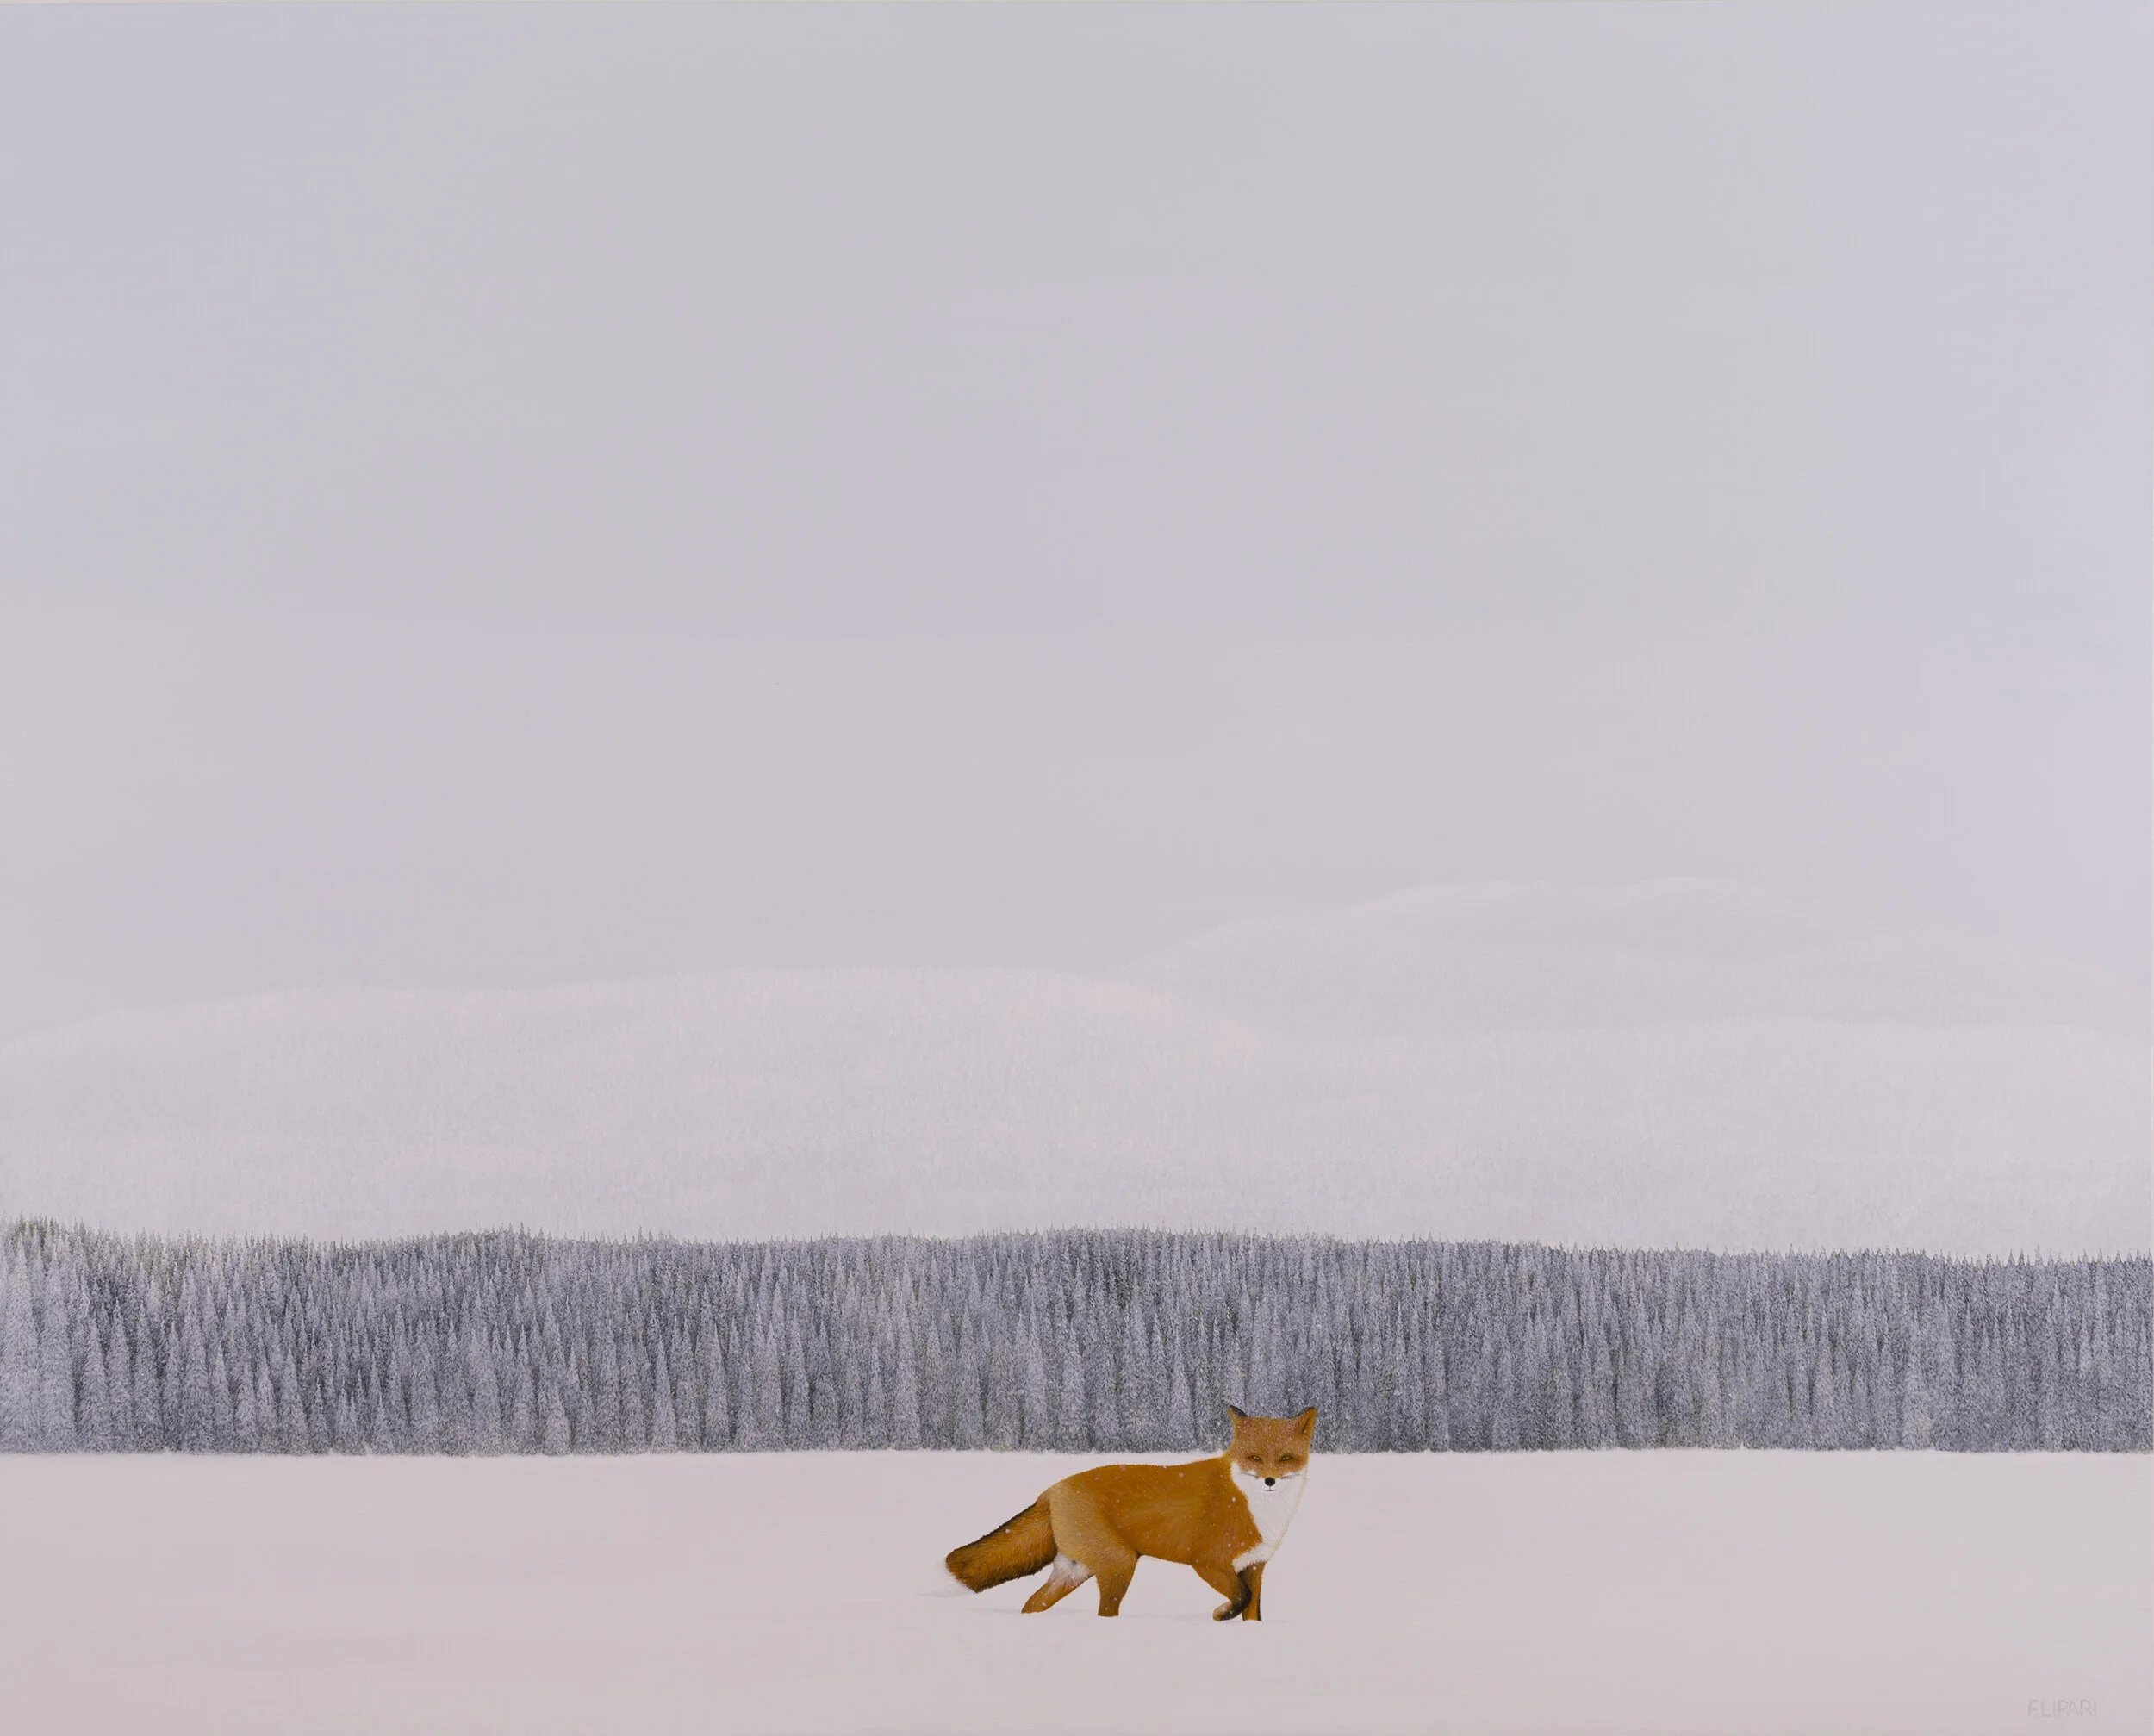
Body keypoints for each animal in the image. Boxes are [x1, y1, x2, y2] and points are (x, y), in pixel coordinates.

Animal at [941, 1405, 1316, 1620]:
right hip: (1119, 1565)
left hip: (1074, 1571)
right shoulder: (1209, 1563)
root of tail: (1052, 1488)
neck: (1257, 1509)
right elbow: (1240, 1597)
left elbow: (1252, 1610)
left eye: (1285, 1458)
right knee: (1103, 1613)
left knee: (1032, 1603)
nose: (1269, 1480)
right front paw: (1221, 1614)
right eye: (1255, 1457)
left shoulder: (1255, 1567)